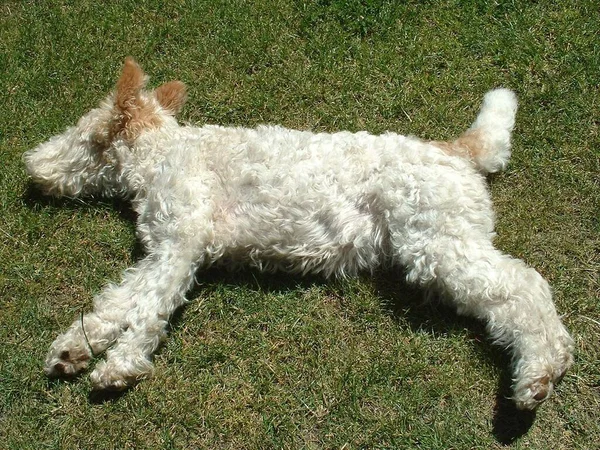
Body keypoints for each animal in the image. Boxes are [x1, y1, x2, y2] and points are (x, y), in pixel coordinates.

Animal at [23, 58, 576, 410]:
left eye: (81, 135)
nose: (30, 165)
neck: (165, 154)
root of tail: (456, 149)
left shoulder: (181, 245)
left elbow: (147, 309)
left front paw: (119, 366)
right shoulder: (161, 249)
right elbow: (117, 300)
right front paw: (73, 349)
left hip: (439, 244)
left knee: (525, 286)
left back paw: (538, 376)